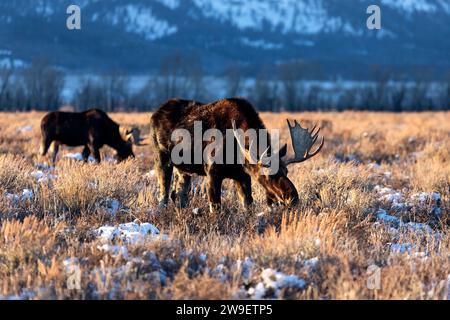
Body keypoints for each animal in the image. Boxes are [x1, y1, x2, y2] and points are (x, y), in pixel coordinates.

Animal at [150, 97, 324, 212]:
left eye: (286, 171)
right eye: (268, 174)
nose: (292, 197)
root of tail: (155, 113)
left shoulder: (242, 175)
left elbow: (248, 204)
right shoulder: (212, 172)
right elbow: (215, 207)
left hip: (183, 169)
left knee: (179, 194)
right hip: (162, 156)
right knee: (164, 193)